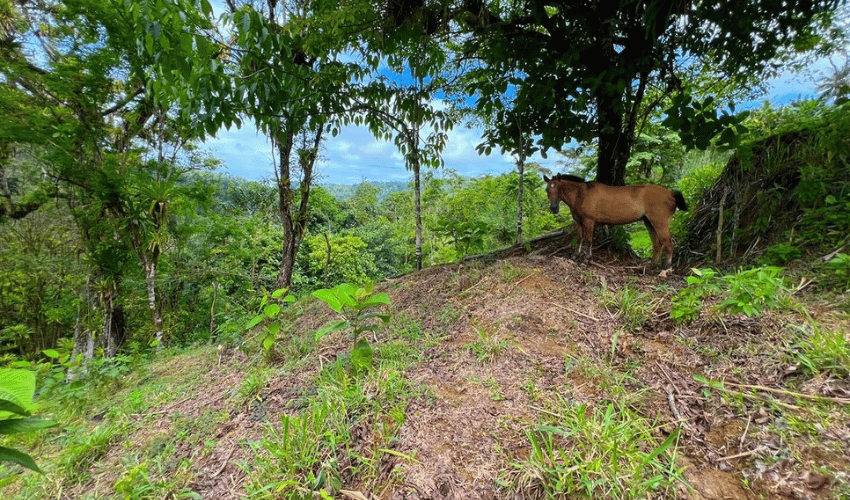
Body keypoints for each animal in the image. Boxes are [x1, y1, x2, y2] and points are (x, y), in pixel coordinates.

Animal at [544, 176, 688, 270]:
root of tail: (671, 194)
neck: (582, 194)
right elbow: (579, 239)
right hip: (649, 223)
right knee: (657, 244)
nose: (554, 208)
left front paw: (586, 259)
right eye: (547, 189)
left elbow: (588, 240)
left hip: (660, 223)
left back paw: (665, 267)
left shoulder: (589, 221)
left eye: (559, 187)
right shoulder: (579, 222)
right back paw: (652, 265)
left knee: (668, 243)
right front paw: (575, 256)